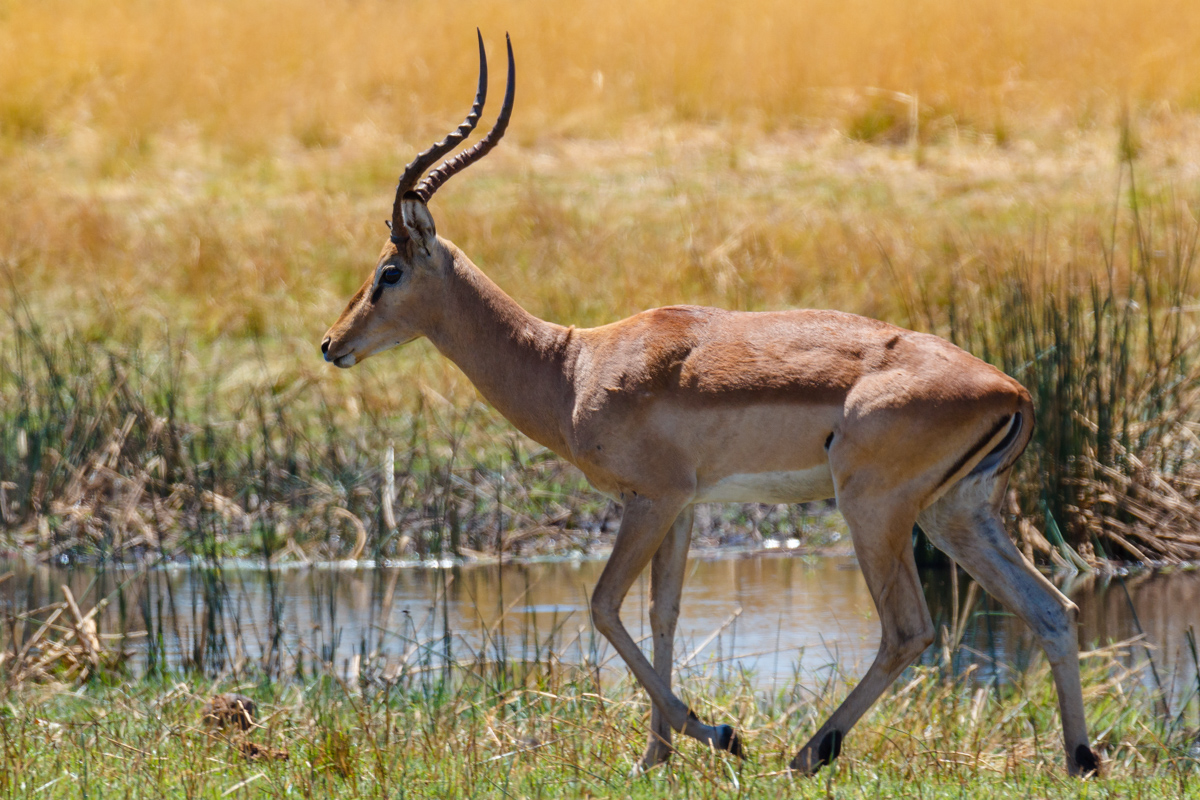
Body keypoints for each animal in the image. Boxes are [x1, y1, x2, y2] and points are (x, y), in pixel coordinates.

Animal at [316, 34, 1099, 777]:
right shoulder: (686, 506)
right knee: (1052, 610)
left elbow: (603, 605)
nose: (331, 343)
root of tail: (1013, 390)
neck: (575, 365)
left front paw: (720, 734)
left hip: (874, 509)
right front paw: (655, 755)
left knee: (909, 629)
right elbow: (663, 613)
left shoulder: (652, 499)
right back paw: (1080, 759)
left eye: (389, 272)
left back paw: (806, 753)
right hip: (955, 512)